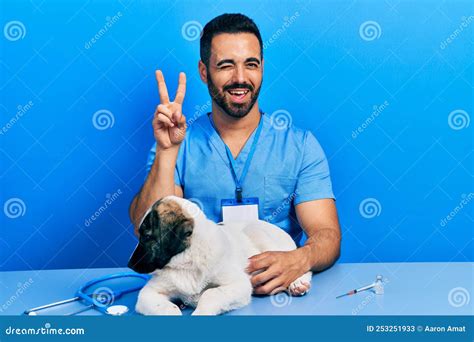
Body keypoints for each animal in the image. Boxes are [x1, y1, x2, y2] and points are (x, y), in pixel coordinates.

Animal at [129, 195, 312, 316]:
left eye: (146, 236)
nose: (130, 264)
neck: (187, 262)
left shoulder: (239, 284)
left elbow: (211, 294)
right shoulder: (149, 293)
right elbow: (164, 307)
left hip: (258, 233)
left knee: (296, 265)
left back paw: (297, 283)